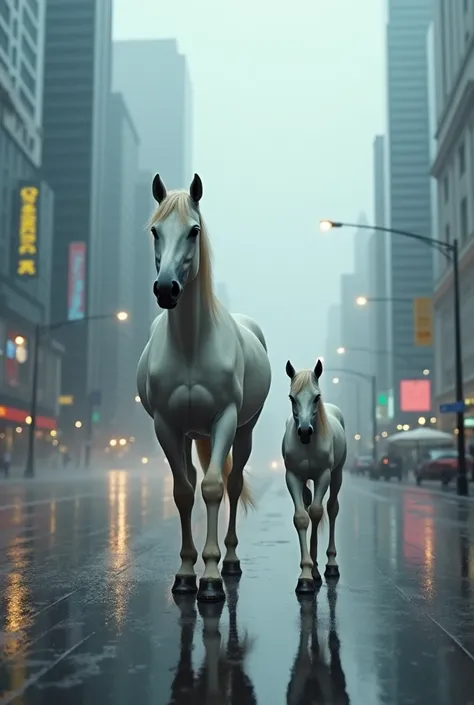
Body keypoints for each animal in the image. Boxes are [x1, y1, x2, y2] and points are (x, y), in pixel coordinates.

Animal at [136, 173, 270, 604]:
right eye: (154, 231)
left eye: (193, 231)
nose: (167, 289)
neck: (192, 344)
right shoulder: (166, 425)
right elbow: (183, 491)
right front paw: (185, 572)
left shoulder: (225, 419)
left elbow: (213, 488)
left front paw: (210, 577)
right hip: (190, 434)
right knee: (192, 480)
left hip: (244, 430)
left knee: (233, 483)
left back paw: (230, 560)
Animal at [282, 358, 344, 592]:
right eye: (292, 397)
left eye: (316, 397)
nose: (305, 432)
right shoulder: (292, 477)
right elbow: (302, 517)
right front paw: (306, 575)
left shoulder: (323, 475)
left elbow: (318, 512)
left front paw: (313, 570)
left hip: (337, 474)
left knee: (331, 508)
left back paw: (329, 564)